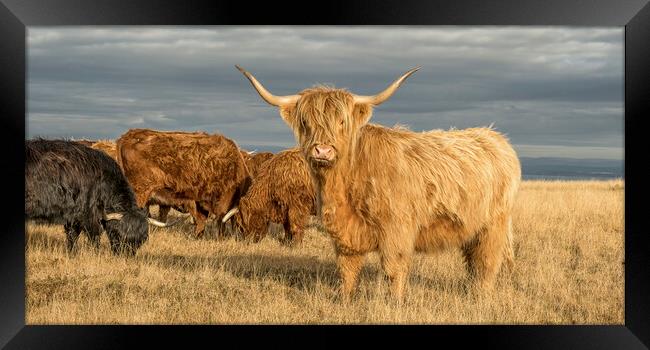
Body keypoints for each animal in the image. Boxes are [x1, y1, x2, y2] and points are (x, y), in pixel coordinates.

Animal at [25, 138, 166, 256]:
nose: (126, 255)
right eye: (119, 234)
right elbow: (89, 236)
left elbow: (73, 235)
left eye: (141, 240)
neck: (102, 181)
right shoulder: (84, 214)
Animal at [115, 129, 249, 238]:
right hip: (140, 191)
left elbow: (202, 220)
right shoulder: (221, 199)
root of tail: (127, 136)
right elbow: (220, 220)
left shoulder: (199, 200)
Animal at [235, 65, 520, 300]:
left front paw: (396, 302)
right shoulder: (344, 232)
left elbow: (394, 269)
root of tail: (495, 136)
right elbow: (348, 268)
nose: (322, 151)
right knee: (478, 260)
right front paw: (346, 299)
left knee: (487, 261)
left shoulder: (397, 230)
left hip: (493, 225)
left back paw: (481, 296)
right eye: (306, 122)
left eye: (342, 121)